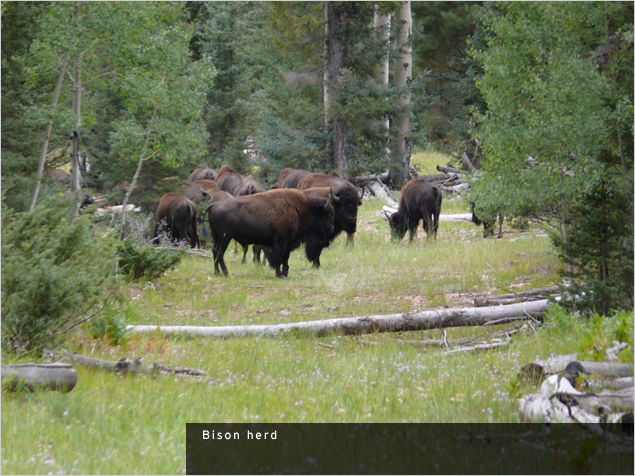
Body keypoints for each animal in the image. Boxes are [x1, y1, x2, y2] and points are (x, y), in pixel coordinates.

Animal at [204, 189, 336, 278]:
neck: (300, 209)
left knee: (214, 251)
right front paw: (280, 274)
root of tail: (214, 204)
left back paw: (217, 273)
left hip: (217, 238)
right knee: (220, 252)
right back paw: (226, 272)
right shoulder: (280, 243)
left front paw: (285, 272)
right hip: (226, 237)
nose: (331, 228)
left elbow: (285, 257)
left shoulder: (288, 243)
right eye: (328, 214)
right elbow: (278, 258)